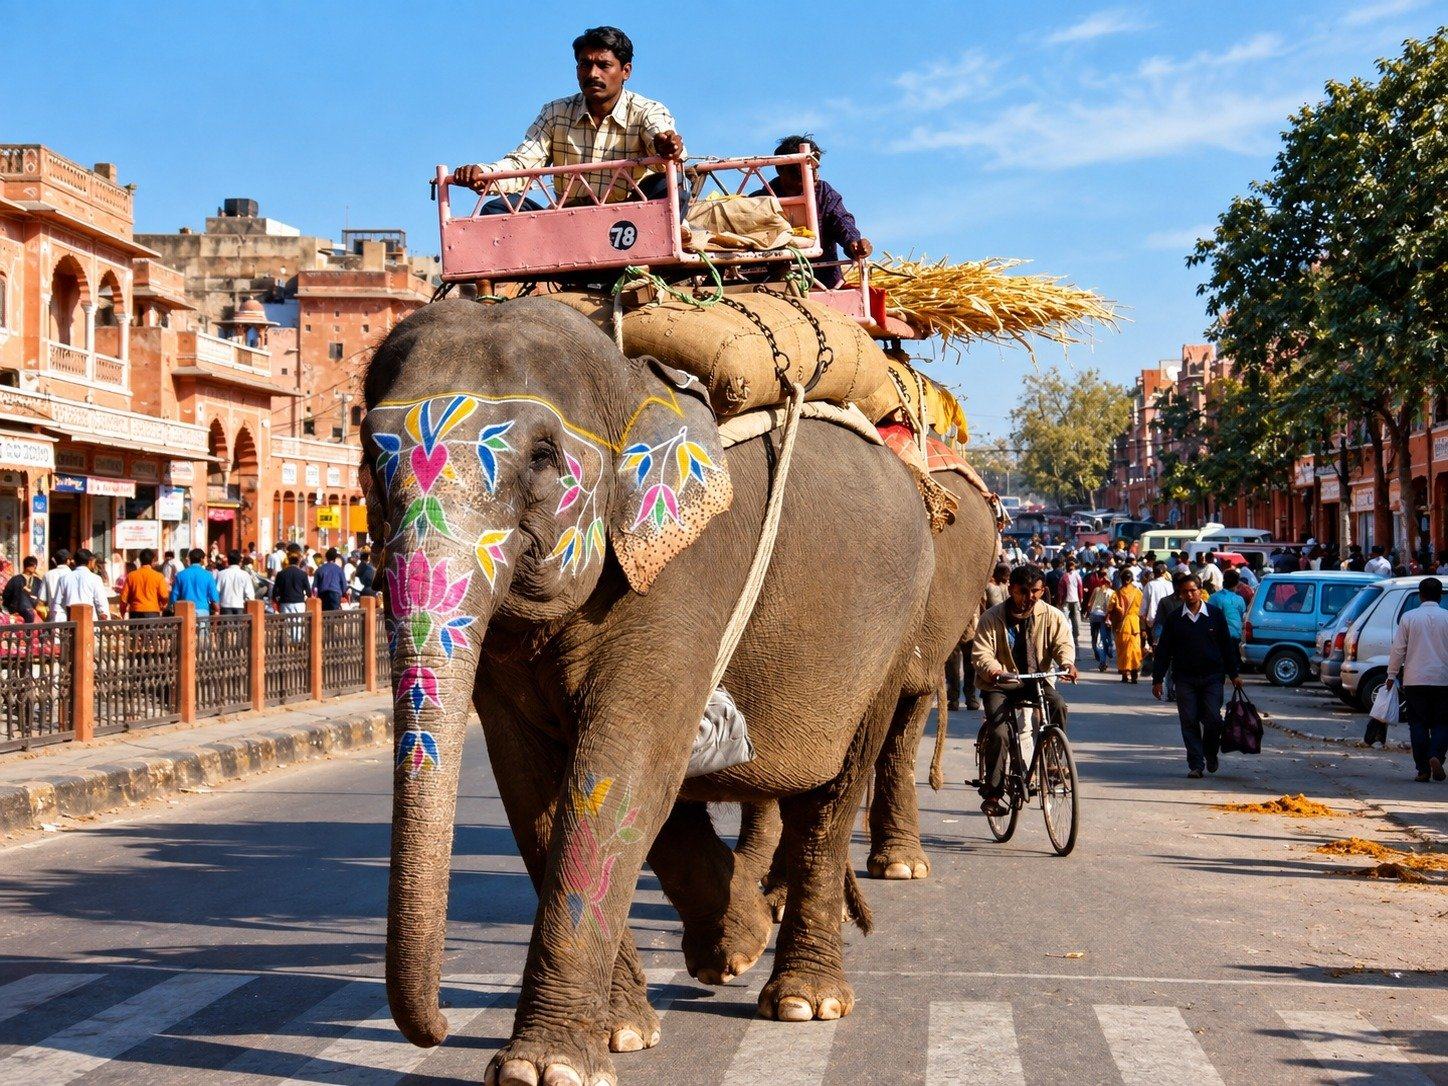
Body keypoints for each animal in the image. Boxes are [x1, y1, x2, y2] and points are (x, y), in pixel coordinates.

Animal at [365, 298, 936, 1086]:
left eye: (542, 456)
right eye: (369, 456)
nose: (441, 1027)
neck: (627, 378)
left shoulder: (684, 573)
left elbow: (620, 768)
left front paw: (542, 1070)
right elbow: (536, 786)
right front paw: (621, 1034)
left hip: (892, 631)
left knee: (830, 795)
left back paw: (804, 1001)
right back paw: (735, 942)